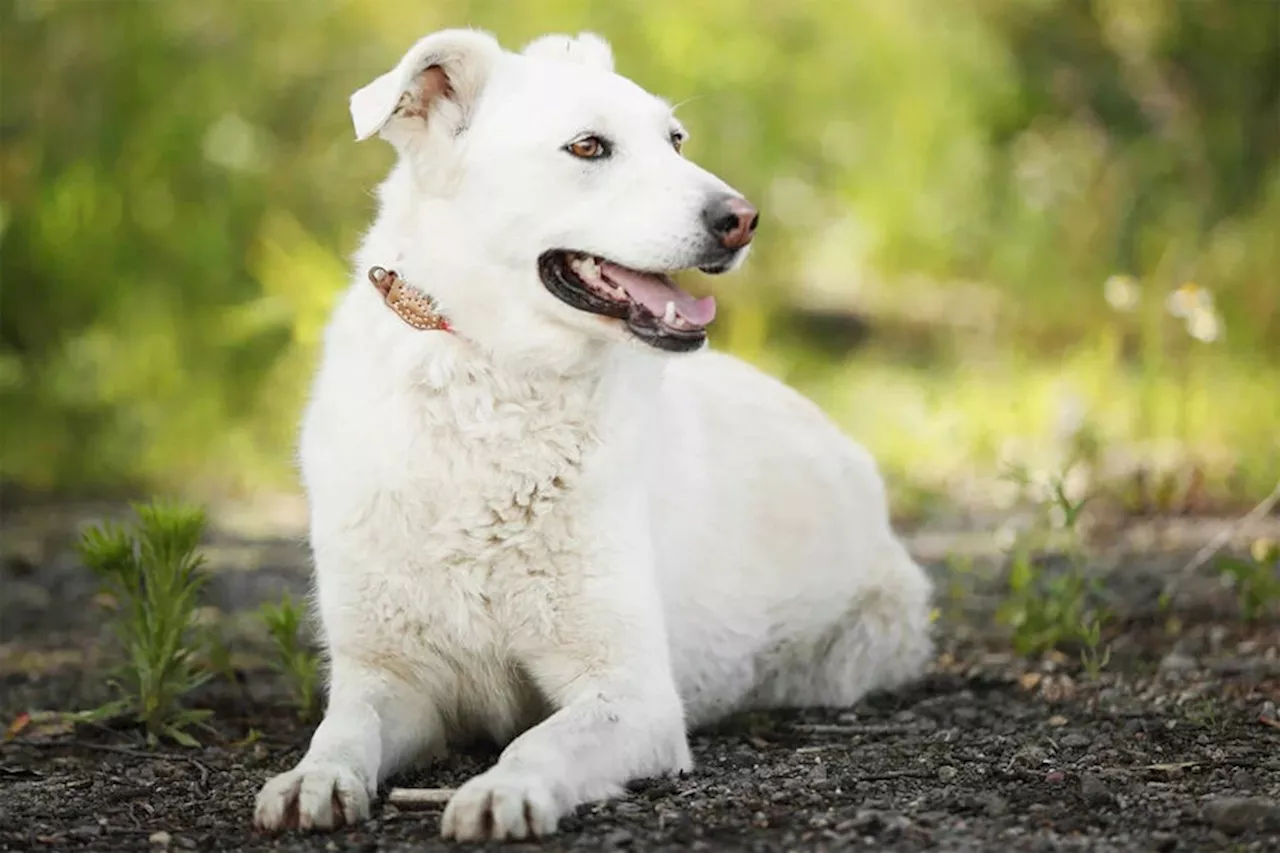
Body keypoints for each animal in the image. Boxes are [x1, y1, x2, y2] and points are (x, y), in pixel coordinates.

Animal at [252, 26, 931, 835]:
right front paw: (312, 778)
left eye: (675, 140)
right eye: (587, 147)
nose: (743, 218)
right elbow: (342, 729)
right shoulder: (391, 677)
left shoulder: (632, 693)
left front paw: (505, 789)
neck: (493, 385)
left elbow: (539, 742)